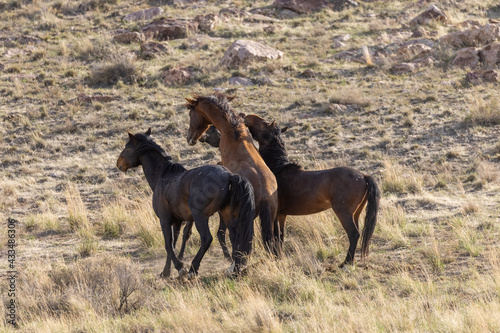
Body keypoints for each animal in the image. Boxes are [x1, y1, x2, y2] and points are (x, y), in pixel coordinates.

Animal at [116, 128, 254, 276]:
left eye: (127, 147)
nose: (119, 163)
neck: (163, 176)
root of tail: (229, 175)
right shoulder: (177, 222)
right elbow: (173, 244)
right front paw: (166, 272)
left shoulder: (164, 220)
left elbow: (168, 244)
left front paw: (179, 267)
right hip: (228, 216)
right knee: (235, 238)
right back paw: (234, 268)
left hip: (200, 217)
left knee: (207, 239)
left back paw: (193, 268)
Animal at [187, 92, 282, 254]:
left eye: (190, 114)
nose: (189, 139)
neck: (234, 132)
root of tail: (264, 195)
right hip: (271, 218)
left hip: (238, 218)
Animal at [241, 115, 378, 266]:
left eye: (265, 124)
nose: (247, 117)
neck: (278, 169)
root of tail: (363, 176)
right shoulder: (282, 215)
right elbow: (281, 237)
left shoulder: (275, 214)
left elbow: (276, 237)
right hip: (356, 213)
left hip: (344, 213)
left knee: (354, 234)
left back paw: (346, 262)